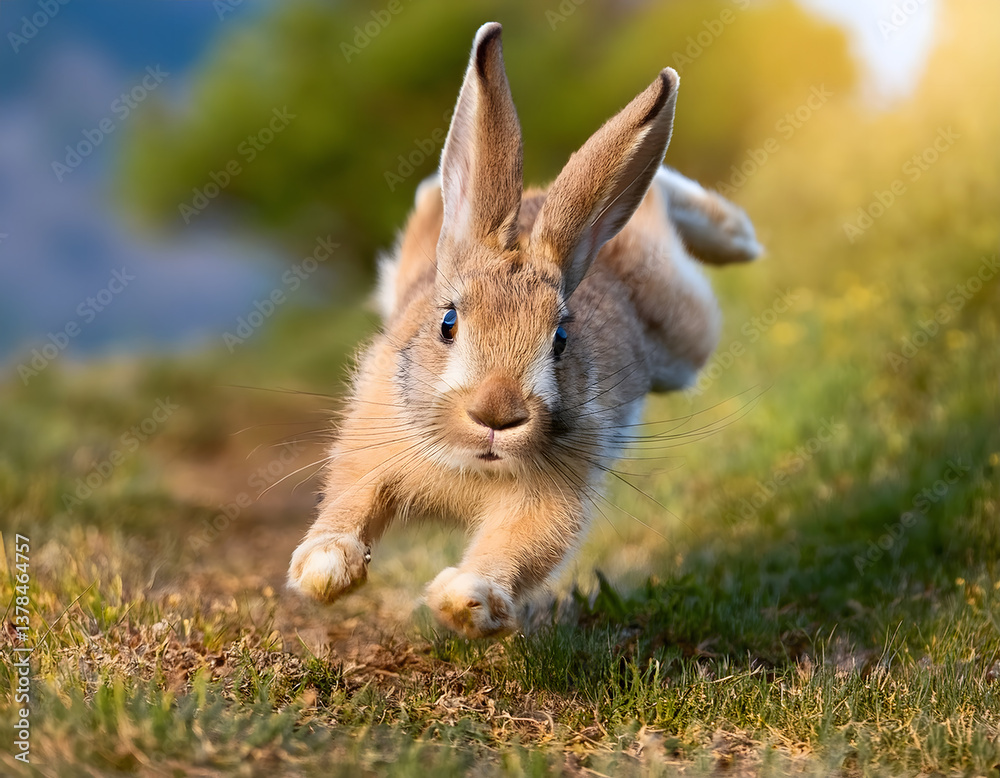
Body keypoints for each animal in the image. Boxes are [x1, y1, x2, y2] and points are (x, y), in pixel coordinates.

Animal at [287, 22, 761, 638]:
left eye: (560, 340)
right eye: (448, 323)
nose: (496, 415)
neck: (471, 462)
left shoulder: (552, 494)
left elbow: (519, 545)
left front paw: (464, 599)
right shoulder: (372, 434)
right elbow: (350, 499)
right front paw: (325, 568)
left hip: (683, 336)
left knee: (661, 202)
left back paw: (737, 235)